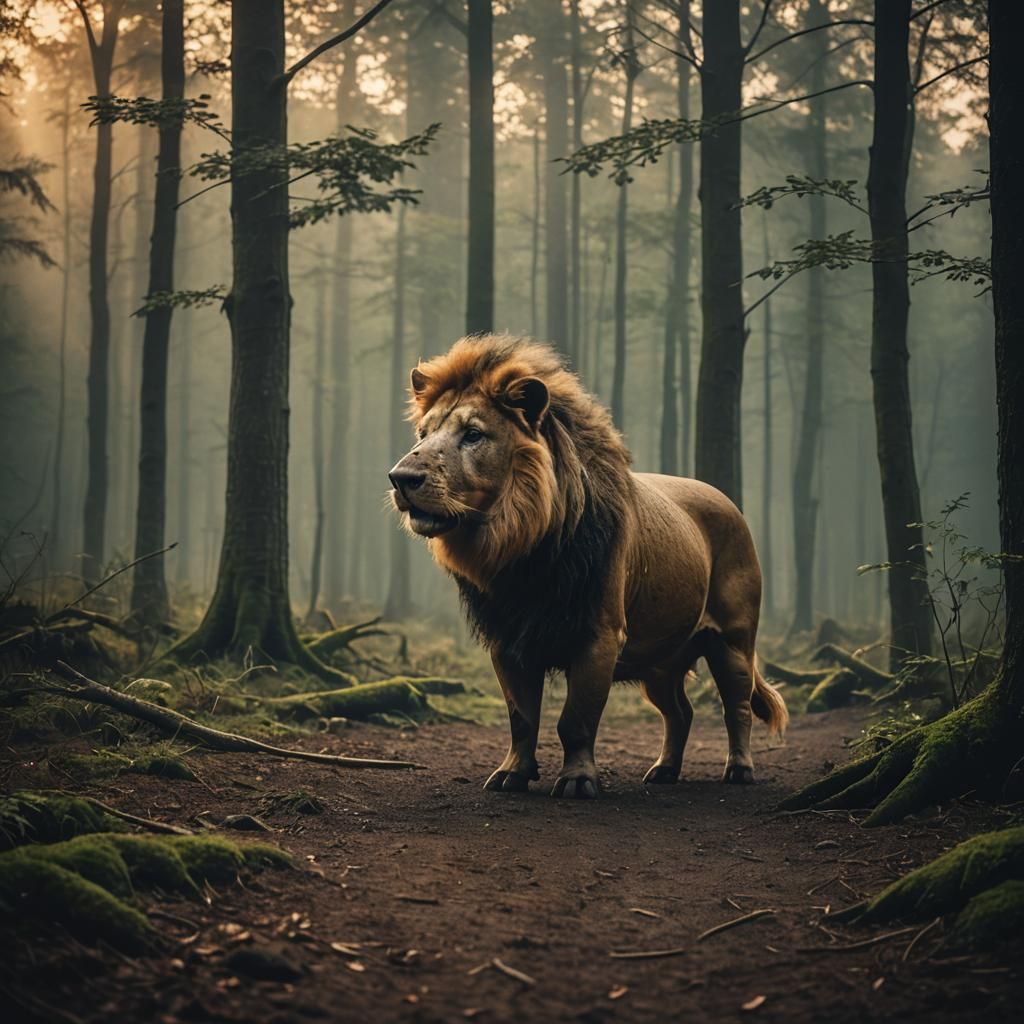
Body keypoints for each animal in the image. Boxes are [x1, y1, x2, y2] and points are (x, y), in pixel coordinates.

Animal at [389, 334, 787, 798]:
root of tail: (729, 503)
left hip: (732, 641)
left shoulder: (599, 635)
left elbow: (576, 720)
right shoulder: (507, 641)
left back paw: (739, 769)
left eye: (473, 434)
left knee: (736, 707)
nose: (401, 477)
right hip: (661, 659)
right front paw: (512, 774)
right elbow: (521, 719)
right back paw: (664, 770)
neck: (522, 548)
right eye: (423, 433)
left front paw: (577, 781)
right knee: (679, 712)